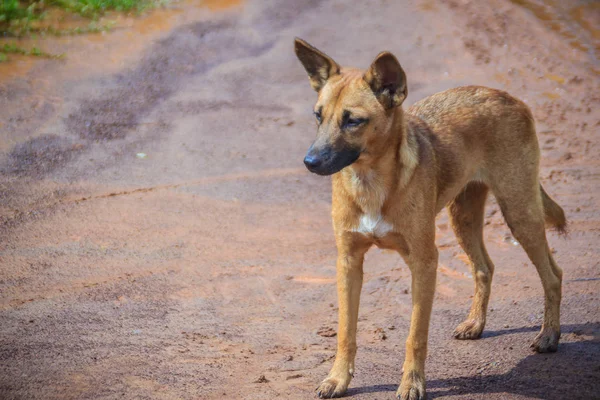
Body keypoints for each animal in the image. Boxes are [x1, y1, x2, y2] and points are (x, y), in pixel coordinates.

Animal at [296, 38, 568, 400]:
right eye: (318, 115)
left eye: (353, 120)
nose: (309, 162)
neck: (370, 181)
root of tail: (509, 97)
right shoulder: (348, 261)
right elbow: (345, 331)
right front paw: (338, 378)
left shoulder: (424, 262)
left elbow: (416, 336)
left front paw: (412, 383)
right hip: (463, 217)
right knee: (484, 268)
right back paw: (476, 324)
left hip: (519, 212)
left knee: (552, 274)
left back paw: (549, 335)